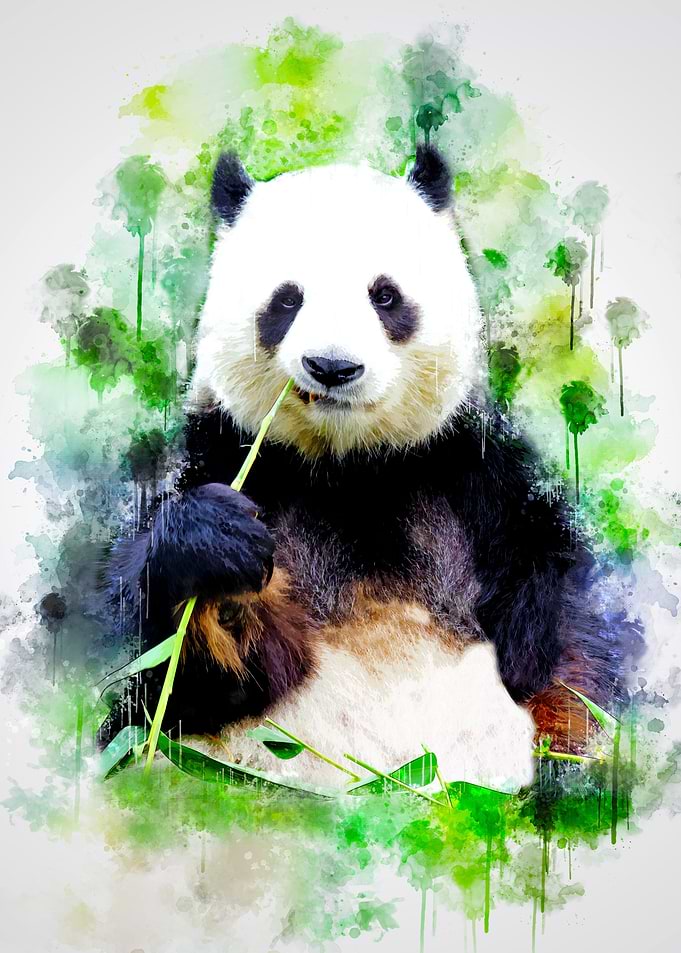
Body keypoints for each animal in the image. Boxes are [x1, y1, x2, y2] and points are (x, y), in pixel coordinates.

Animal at [108, 146, 627, 791]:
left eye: (385, 296)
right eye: (287, 300)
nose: (333, 367)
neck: (349, 469)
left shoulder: (469, 472)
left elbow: (558, 641)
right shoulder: (235, 456)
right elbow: (181, 676)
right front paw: (216, 548)